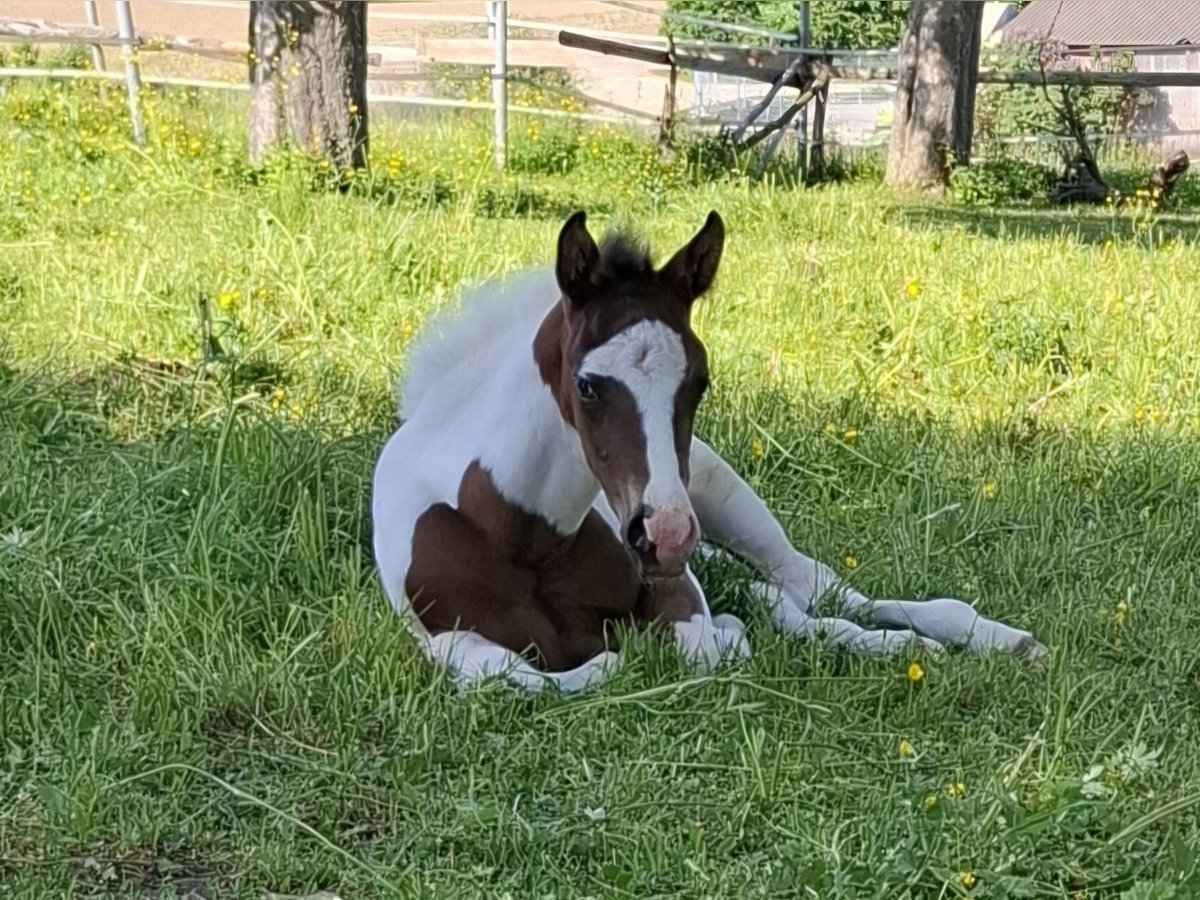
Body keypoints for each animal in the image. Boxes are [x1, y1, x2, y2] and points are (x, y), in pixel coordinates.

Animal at [371, 210, 1047, 693]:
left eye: (700, 381)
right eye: (586, 385)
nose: (666, 535)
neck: (524, 537)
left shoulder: (677, 593)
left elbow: (706, 646)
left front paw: (736, 629)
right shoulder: (442, 642)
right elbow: (536, 673)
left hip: (724, 495)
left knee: (819, 589)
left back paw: (989, 638)